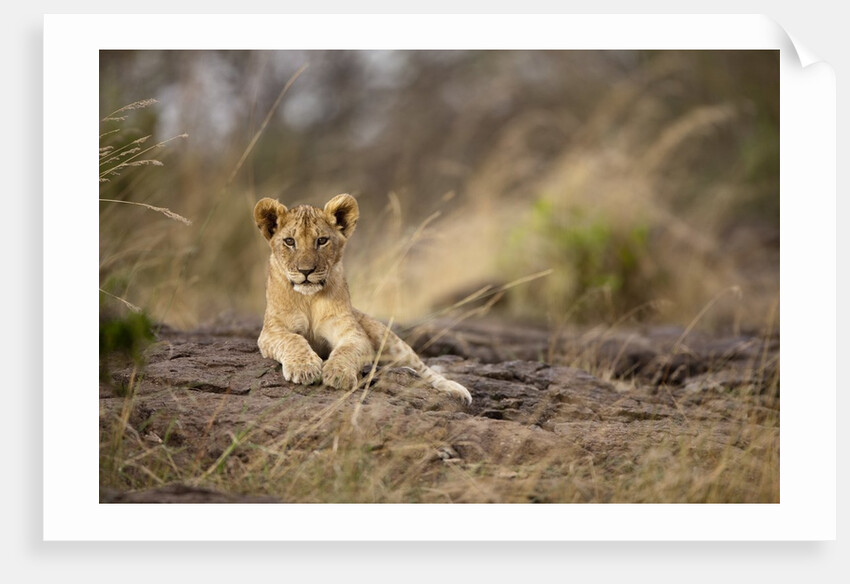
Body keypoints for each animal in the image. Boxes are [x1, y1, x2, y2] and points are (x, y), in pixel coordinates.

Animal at [253, 193, 472, 404]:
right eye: (289, 241)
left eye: (322, 240)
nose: (306, 271)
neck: (309, 299)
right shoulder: (271, 331)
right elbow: (293, 339)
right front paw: (304, 368)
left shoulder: (354, 334)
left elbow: (347, 350)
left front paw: (338, 374)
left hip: (388, 339)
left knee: (422, 368)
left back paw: (455, 390)